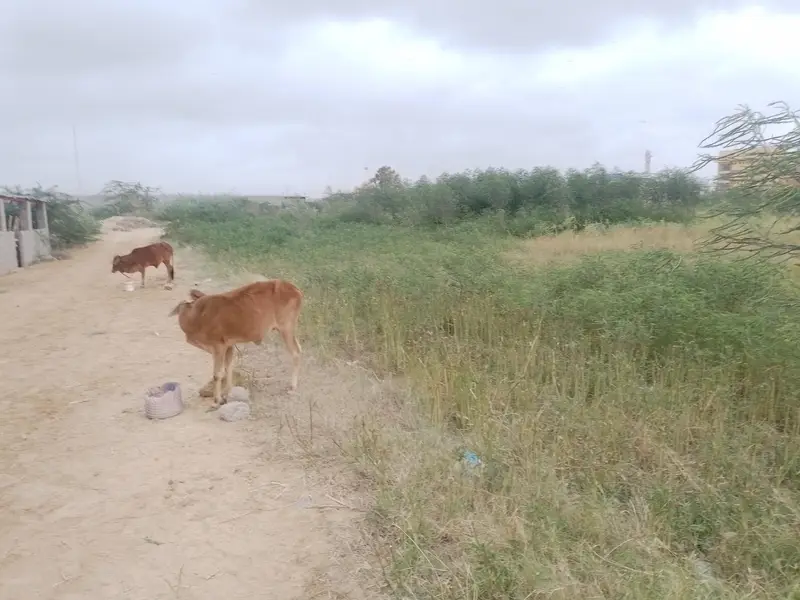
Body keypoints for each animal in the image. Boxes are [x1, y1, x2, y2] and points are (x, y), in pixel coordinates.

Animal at [168, 279, 303, 409]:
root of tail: (295, 289)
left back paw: (293, 387)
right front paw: (227, 394)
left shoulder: (218, 347)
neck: (198, 316)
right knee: (300, 349)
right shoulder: (229, 346)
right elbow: (228, 368)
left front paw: (216, 401)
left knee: (296, 353)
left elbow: (217, 374)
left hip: (286, 328)